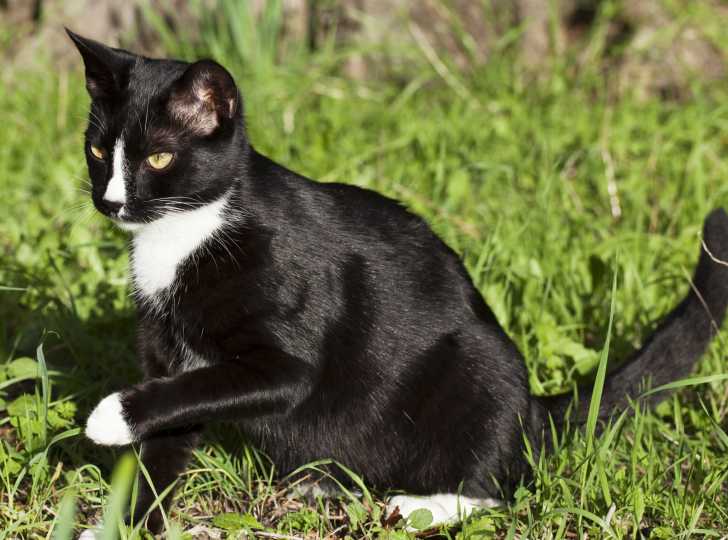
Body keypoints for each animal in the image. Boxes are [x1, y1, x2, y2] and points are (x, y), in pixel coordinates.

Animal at [67, 29, 728, 536]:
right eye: (98, 151)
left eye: (158, 158)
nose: (111, 201)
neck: (185, 234)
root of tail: (535, 410)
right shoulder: (168, 354)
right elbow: (166, 439)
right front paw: (129, 523)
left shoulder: (286, 362)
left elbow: (202, 385)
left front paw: (109, 416)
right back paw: (326, 484)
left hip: (478, 368)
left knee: (498, 484)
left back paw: (419, 506)